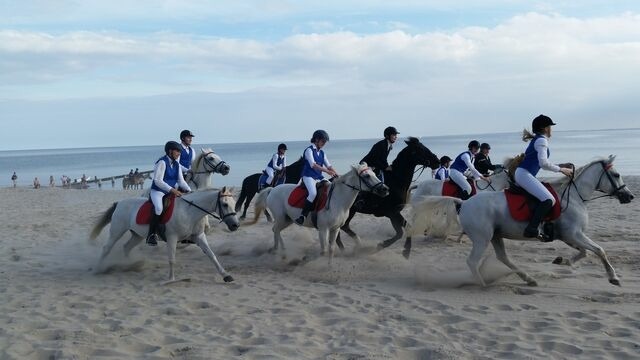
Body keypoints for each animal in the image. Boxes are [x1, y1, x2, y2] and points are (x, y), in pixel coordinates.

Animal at [90, 187, 240, 282]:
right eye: (225, 204)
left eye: (234, 203)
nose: (235, 225)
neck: (189, 211)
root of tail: (119, 203)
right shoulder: (172, 238)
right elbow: (172, 259)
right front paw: (171, 279)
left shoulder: (199, 236)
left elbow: (212, 255)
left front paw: (226, 275)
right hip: (117, 231)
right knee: (107, 248)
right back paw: (97, 269)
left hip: (137, 235)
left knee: (127, 247)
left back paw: (129, 264)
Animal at [246, 164, 390, 262]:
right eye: (367, 176)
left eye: (374, 174)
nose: (385, 189)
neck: (338, 200)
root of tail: (272, 189)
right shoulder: (323, 229)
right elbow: (324, 250)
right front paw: (305, 260)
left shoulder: (335, 229)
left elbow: (331, 249)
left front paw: (330, 268)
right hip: (282, 218)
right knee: (275, 230)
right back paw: (279, 251)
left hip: (287, 220)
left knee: (275, 230)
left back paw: (280, 250)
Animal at [410, 155, 636, 286]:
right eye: (616, 174)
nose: (629, 196)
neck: (575, 196)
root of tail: (464, 203)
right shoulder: (574, 234)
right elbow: (599, 250)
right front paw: (613, 277)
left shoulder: (569, 236)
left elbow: (584, 253)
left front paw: (562, 260)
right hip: (483, 238)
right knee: (472, 261)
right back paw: (483, 284)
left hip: (495, 236)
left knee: (503, 258)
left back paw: (528, 278)